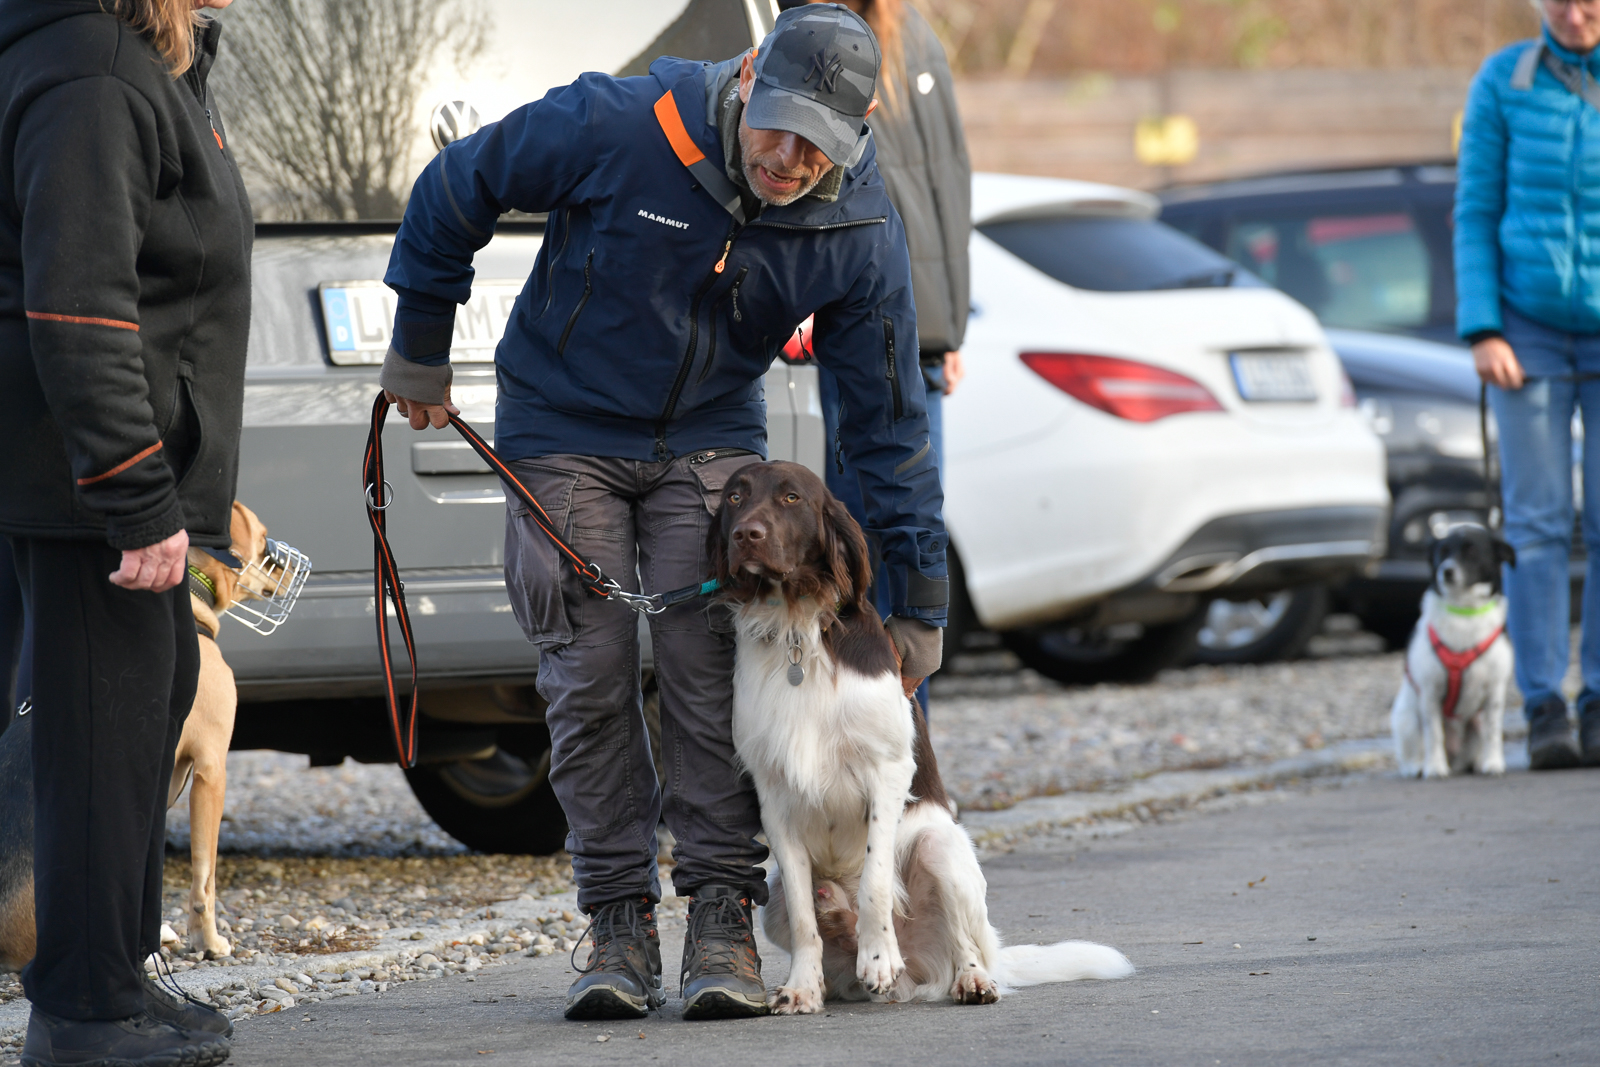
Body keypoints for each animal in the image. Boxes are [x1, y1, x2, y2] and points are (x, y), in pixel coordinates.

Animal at [708, 461, 1133, 1013]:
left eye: (791, 497)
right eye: (735, 497)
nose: (745, 535)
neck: (798, 632)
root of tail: (918, 974)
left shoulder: (887, 771)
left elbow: (874, 881)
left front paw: (877, 956)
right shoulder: (774, 795)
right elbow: (805, 918)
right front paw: (802, 986)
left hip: (939, 848)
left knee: (966, 945)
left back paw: (969, 980)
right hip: (773, 894)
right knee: (816, 918)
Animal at [1391, 524, 1517, 779]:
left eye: (1472, 551)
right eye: (1443, 552)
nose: (1446, 571)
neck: (1464, 612)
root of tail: (1457, 760)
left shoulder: (1495, 690)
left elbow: (1493, 732)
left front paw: (1493, 762)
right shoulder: (1429, 692)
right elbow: (1433, 734)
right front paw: (1434, 767)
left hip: (1476, 720)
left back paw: (1478, 762)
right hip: (1407, 719)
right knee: (1413, 751)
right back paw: (1417, 766)